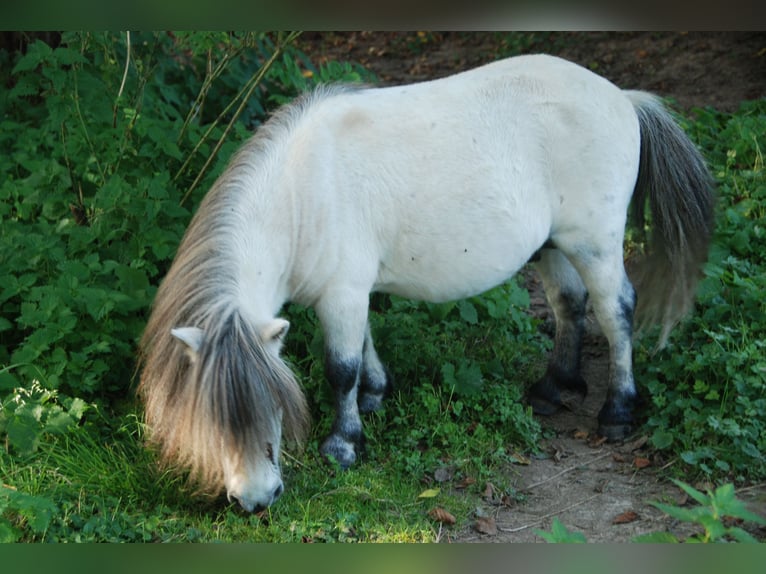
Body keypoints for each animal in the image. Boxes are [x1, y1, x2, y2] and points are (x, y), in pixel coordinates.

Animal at [138, 54, 714, 513]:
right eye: (212, 419)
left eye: (270, 407)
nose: (255, 501)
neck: (303, 194)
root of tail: (623, 99)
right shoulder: (351, 292)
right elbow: (363, 348)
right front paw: (375, 395)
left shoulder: (341, 294)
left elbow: (340, 368)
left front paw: (344, 444)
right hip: (551, 245)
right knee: (569, 304)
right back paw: (553, 388)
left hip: (594, 244)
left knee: (616, 311)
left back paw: (617, 411)